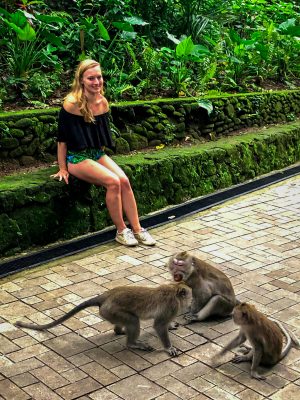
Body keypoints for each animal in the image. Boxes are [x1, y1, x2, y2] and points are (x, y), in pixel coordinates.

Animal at [14, 282, 192, 356]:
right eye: (190, 295)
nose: (191, 301)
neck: (174, 291)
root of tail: (105, 296)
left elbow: (163, 325)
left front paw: (171, 325)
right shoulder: (171, 307)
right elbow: (159, 325)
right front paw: (169, 347)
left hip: (110, 313)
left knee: (126, 322)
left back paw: (119, 330)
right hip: (112, 310)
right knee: (133, 320)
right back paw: (132, 343)